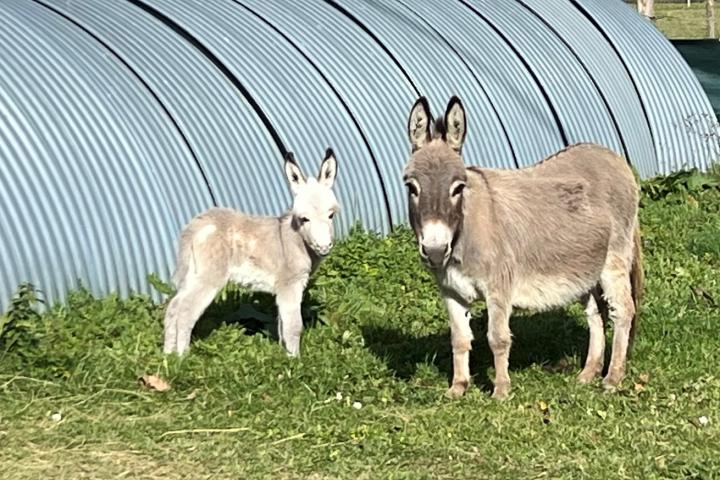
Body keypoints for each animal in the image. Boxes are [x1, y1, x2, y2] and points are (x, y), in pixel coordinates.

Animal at [165, 150, 338, 356]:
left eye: (331, 215)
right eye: (304, 218)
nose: (324, 247)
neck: (295, 238)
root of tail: (196, 226)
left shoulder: (283, 288)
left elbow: (282, 325)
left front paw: (283, 355)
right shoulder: (290, 283)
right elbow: (294, 326)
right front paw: (295, 359)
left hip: (193, 273)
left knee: (173, 307)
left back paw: (168, 354)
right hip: (210, 276)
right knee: (186, 311)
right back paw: (183, 356)